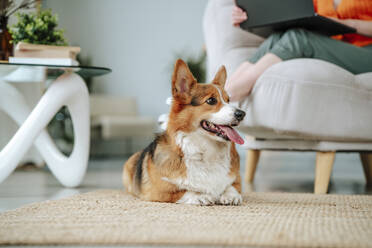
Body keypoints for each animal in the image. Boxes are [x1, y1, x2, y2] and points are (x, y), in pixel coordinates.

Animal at [123, 58, 247, 205]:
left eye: (228, 100)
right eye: (211, 100)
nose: (242, 114)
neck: (207, 153)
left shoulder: (236, 180)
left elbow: (232, 186)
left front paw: (231, 196)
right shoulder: (157, 191)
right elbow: (183, 191)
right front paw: (202, 196)